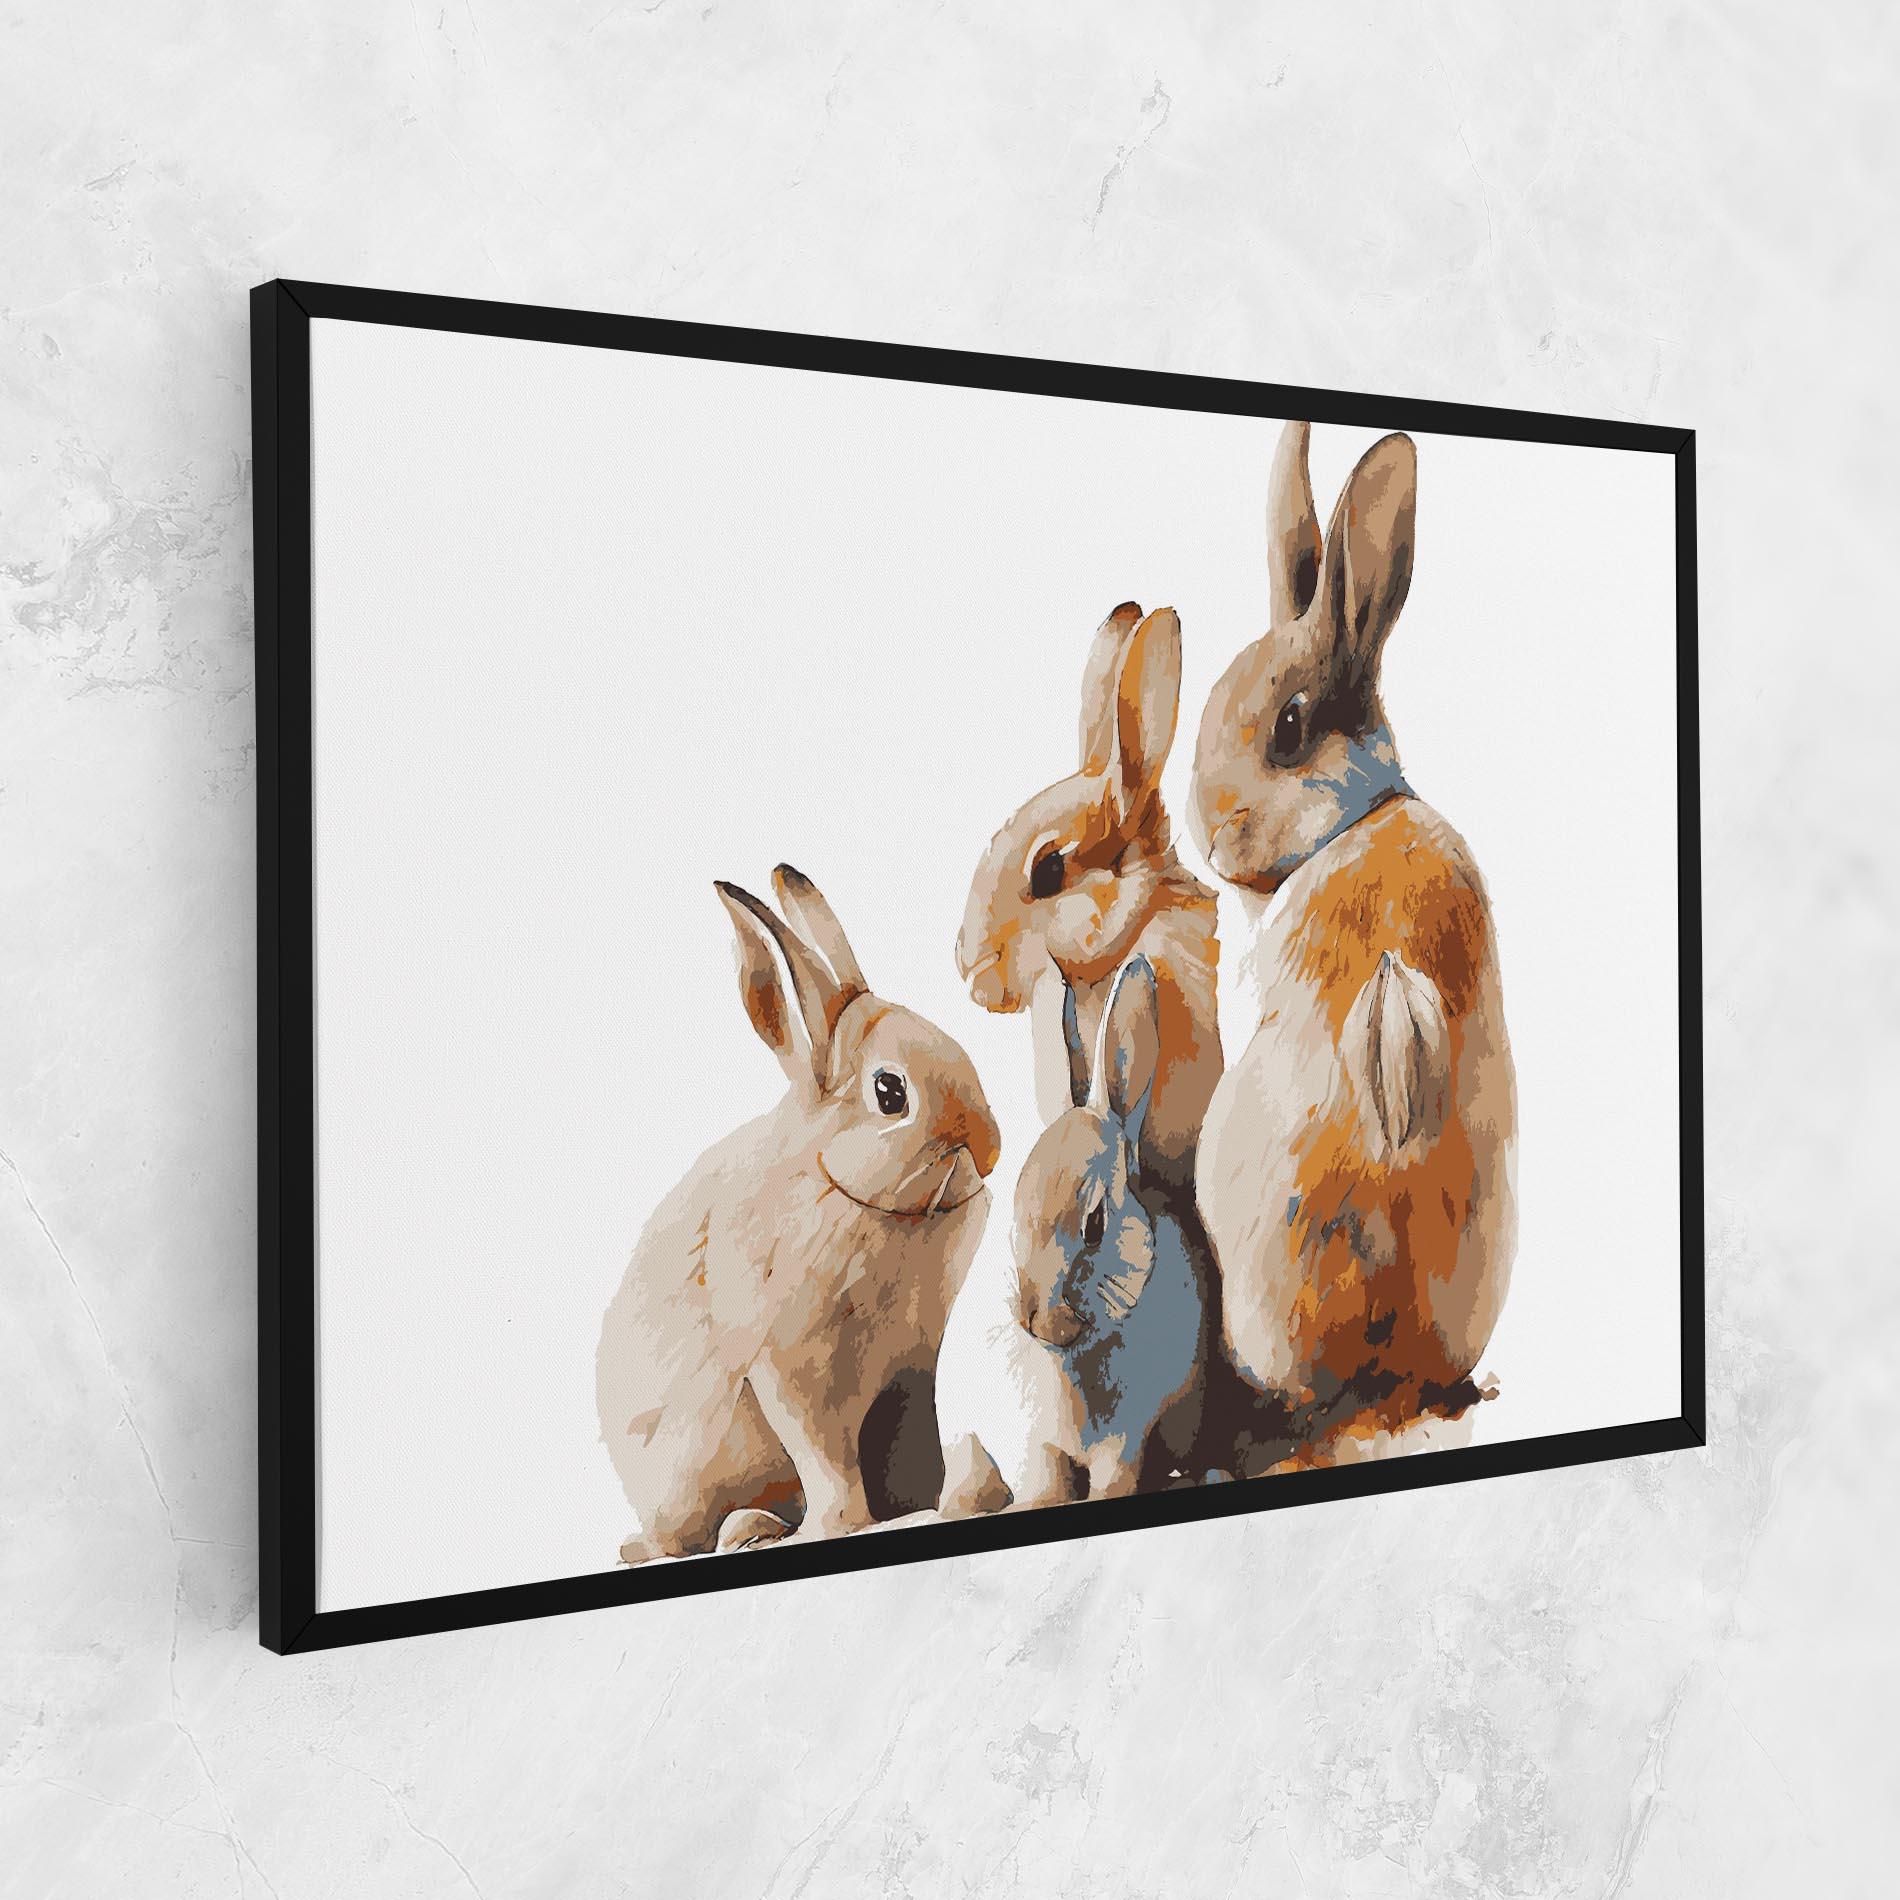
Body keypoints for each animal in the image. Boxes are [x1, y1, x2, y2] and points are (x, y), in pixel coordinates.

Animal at [595, 864, 1001, 1560]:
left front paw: (927, 1503)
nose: (990, 1145)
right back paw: (740, 1531)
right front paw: (841, 1526)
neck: (841, 1189)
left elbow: (909, 1445)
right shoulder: (794, 1369)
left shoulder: (910, 1371)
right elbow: (826, 1458)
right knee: (680, 1537)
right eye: (890, 1092)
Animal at [936, 955, 1211, 1512]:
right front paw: (1037, 1503)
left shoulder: (1126, 1439)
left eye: (1095, 1224)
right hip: (960, 1433)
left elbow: (1113, 1479)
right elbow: (1043, 1481)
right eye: (1012, 1213)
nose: (1038, 1318)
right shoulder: (1028, 1440)